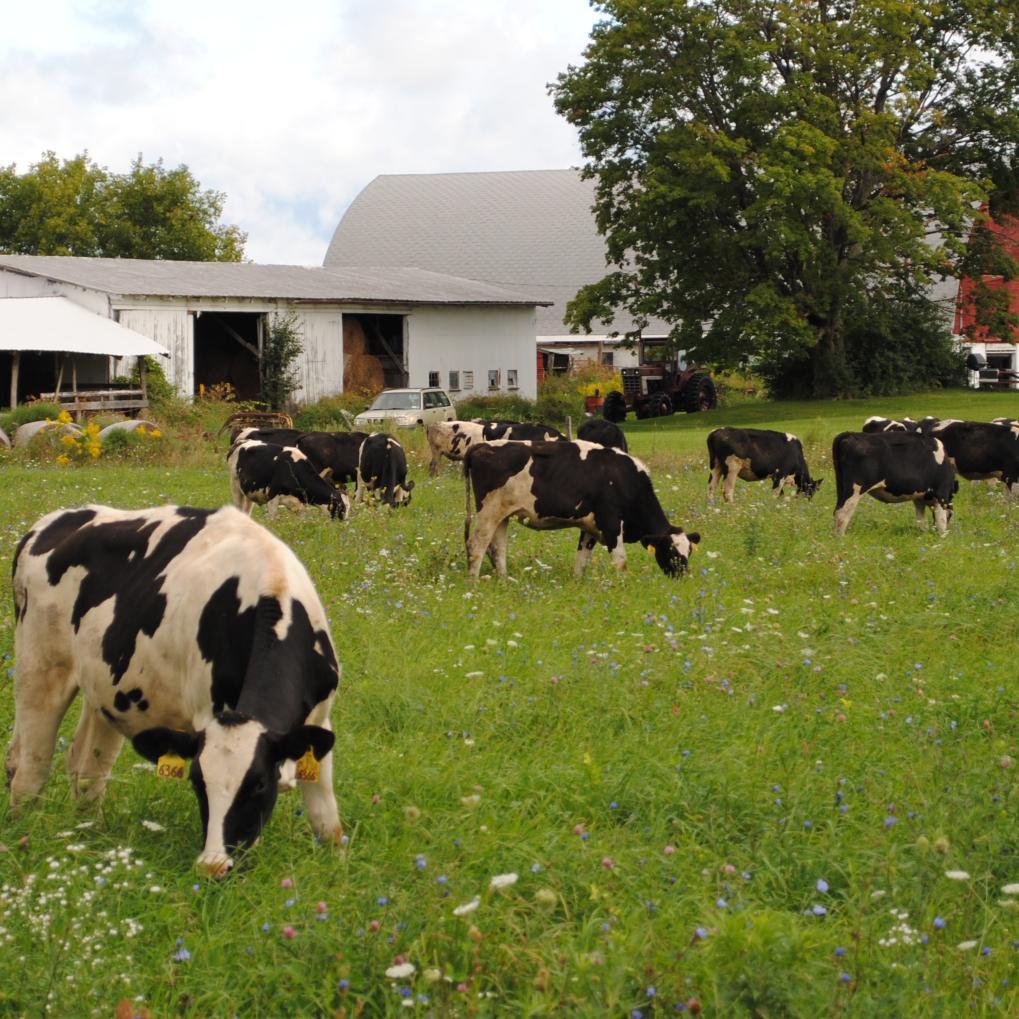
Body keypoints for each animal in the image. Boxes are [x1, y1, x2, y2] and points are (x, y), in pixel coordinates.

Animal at [6, 505, 342, 872]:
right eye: (197, 782)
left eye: (258, 785)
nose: (212, 867)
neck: (272, 588)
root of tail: (53, 520)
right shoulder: (206, 713)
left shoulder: (318, 721)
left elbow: (327, 819)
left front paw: (337, 865)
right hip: (39, 666)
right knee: (30, 769)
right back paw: (23, 836)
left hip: (106, 689)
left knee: (85, 767)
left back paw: (89, 835)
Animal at [464, 440, 696, 578]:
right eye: (671, 551)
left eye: (689, 551)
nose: (681, 577)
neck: (624, 480)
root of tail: (481, 446)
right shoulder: (611, 524)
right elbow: (621, 562)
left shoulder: (590, 527)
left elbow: (581, 561)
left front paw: (577, 583)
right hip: (488, 512)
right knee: (476, 546)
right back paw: (473, 585)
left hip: (501, 516)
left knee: (497, 548)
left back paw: (504, 580)